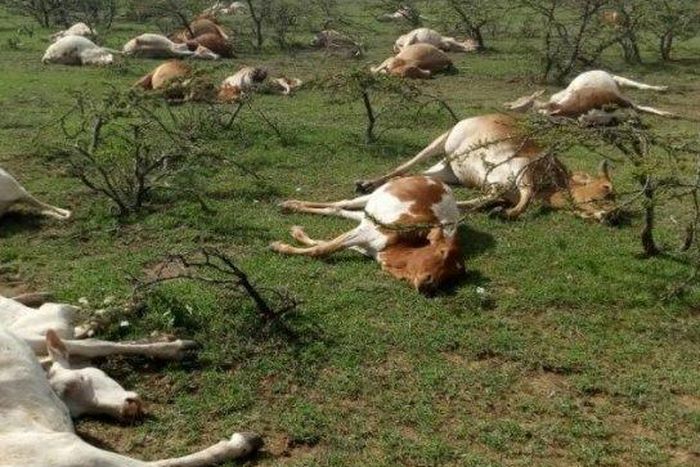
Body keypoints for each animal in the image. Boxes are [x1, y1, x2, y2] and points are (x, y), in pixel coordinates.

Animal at [272, 176, 465, 295]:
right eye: (442, 252)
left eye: (452, 276)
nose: (430, 285)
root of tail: (438, 181)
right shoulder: (369, 232)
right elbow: (323, 248)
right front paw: (280, 246)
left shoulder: (367, 241)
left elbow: (322, 243)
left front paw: (297, 234)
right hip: (372, 197)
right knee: (343, 203)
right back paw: (290, 204)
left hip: (366, 215)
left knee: (337, 209)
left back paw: (293, 206)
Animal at [355, 114, 618, 222]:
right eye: (606, 188)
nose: (612, 214)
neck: (556, 181)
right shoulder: (524, 167)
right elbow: (527, 194)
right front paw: (506, 213)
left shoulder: (496, 187)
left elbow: (484, 199)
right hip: (443, 139)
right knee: (405, 164)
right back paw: (365, 183)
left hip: (449, 169)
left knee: (413, 173)